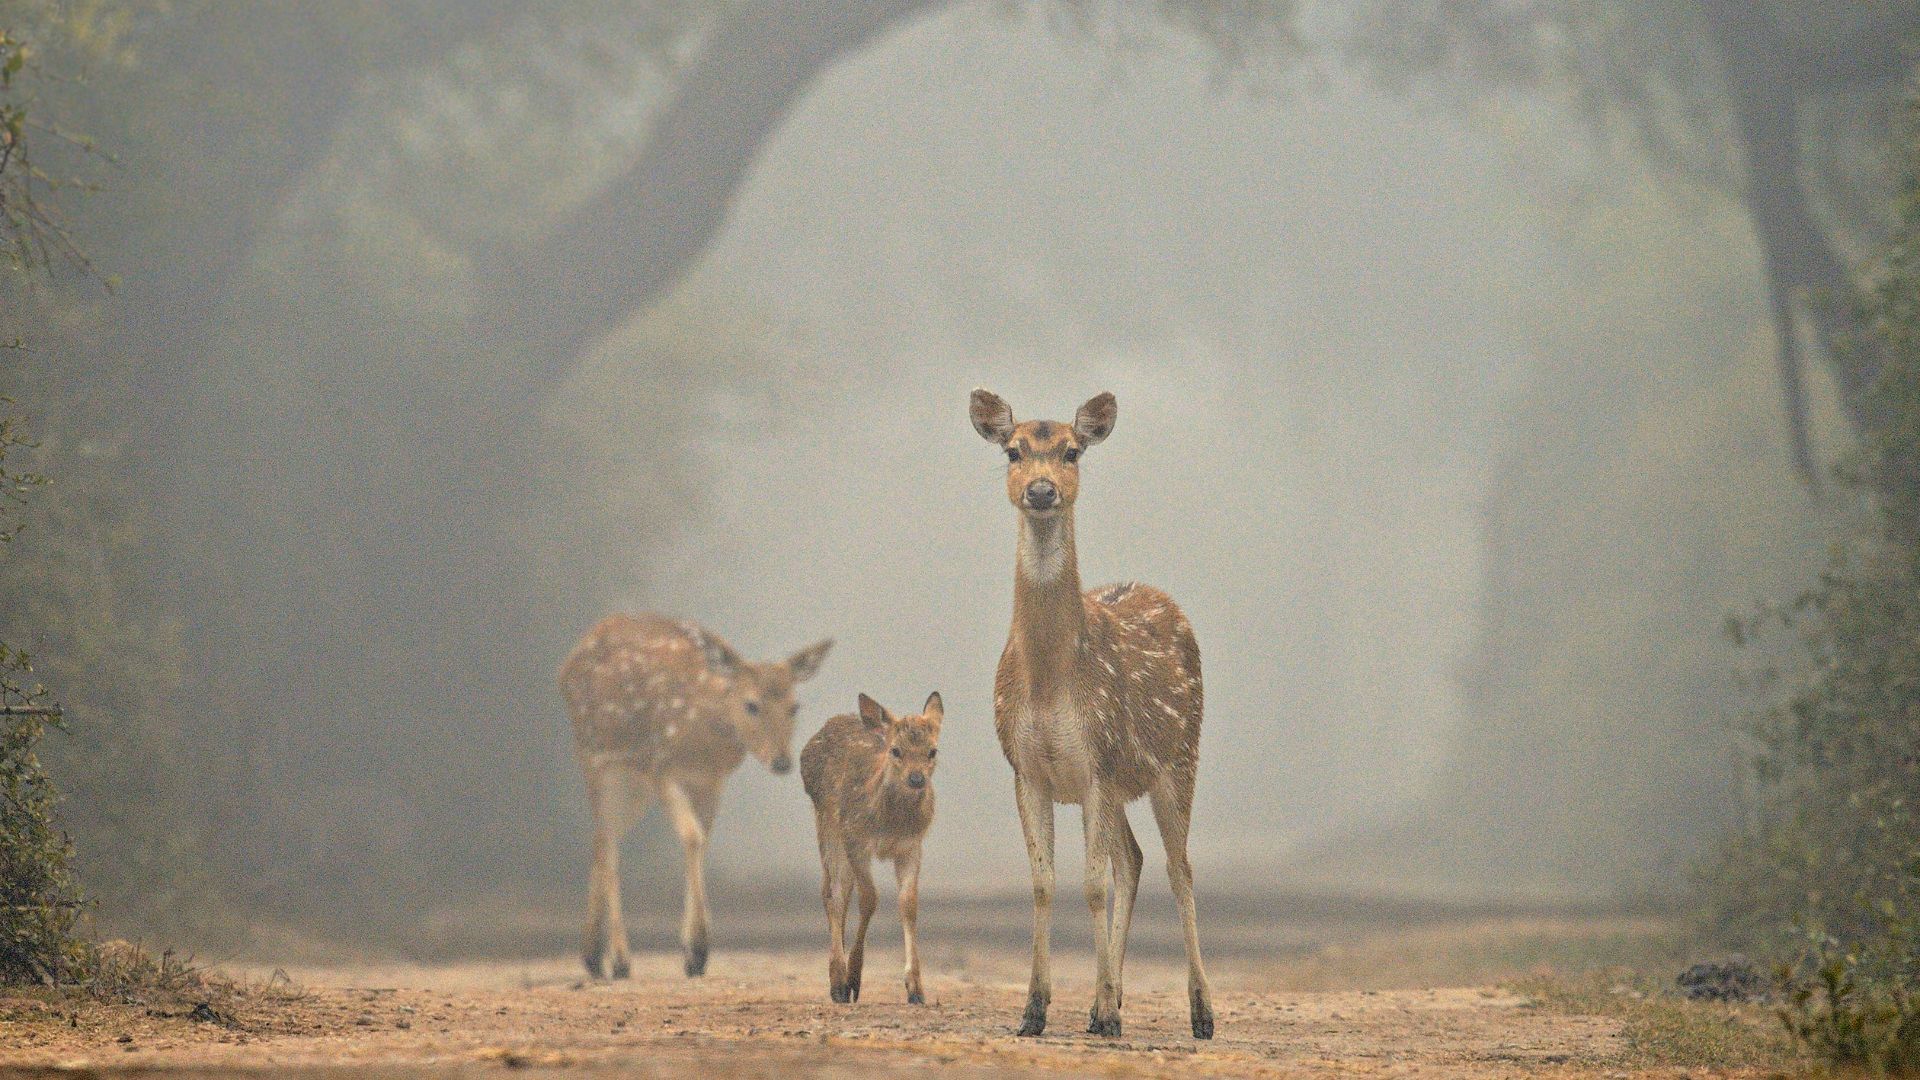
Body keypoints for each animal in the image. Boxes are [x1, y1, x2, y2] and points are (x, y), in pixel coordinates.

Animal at [556, 614, 825, 976]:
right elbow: (692, 836)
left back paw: (592, 955)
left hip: (633, 780)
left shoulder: (711, 782)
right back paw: (619, 958)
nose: (782, 761)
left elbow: (702, 840)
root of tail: (566, 667)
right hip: (596, 757)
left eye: (794, 707)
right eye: (751, 704)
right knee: (608, 842)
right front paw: (698, 950)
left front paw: (692, 955)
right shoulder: (663, 768)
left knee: (600, 837)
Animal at [798, 687, 940, 999]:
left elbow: (908, 903)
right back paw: (837, 982)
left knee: (841, 890)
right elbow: (869, 899)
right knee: (833, 893)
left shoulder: (911, 846)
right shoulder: (856, 838)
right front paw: (852, 978)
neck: (890, 823)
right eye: (896, 750)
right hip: (827, 825)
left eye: (932, 751)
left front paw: (915, 987)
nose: (916, 779)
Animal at [975, 388, 1213, 1037]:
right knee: (1134, 859)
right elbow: (1043, 882)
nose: (1040, 490)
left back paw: (1199, 1012)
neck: (1051, 680)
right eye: (1012, 450)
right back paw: (1107, 1000)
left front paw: (1105, 1013)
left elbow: (1091, 885)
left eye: (1072, 451)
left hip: (1179, 756)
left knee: (1180, 867)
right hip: (1124, 781)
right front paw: (1035, 1011)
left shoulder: (1097, 762)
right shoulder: (1027, 769)